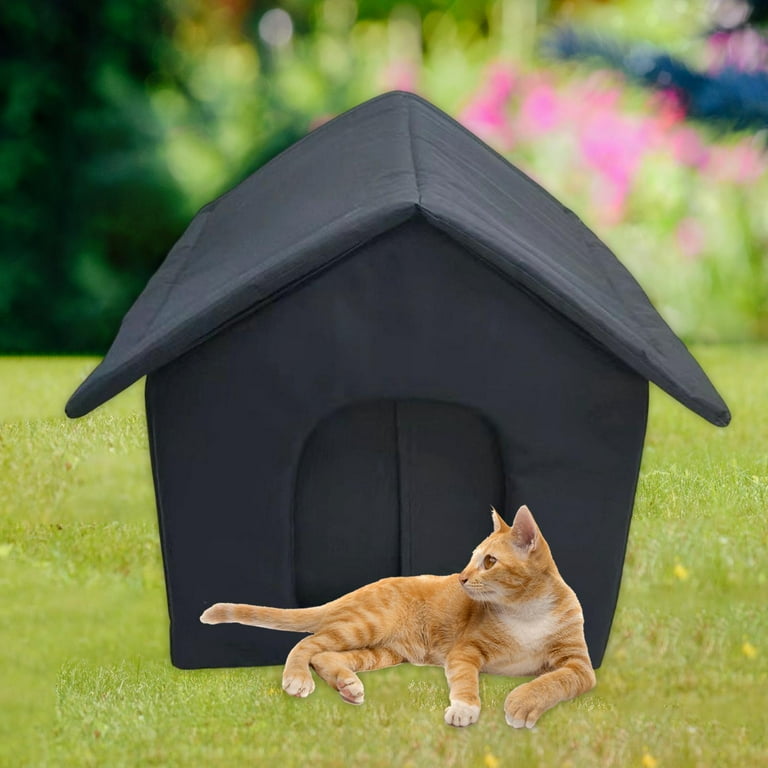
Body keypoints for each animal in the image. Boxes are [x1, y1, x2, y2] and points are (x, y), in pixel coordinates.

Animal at [200, 504, 592, 728]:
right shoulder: (464, 653)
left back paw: (347, 685)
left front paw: (524, 701)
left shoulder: (579, 666)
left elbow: (554, 680)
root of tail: (358, 591)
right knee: (306, 644)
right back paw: (297, 679)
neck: (525, 612)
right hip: (364, 625)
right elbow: (466, 682)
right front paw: (465, 709)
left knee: (325, 654)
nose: (462, 578)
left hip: (383, 651)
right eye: (471, 558)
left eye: (490, 561)